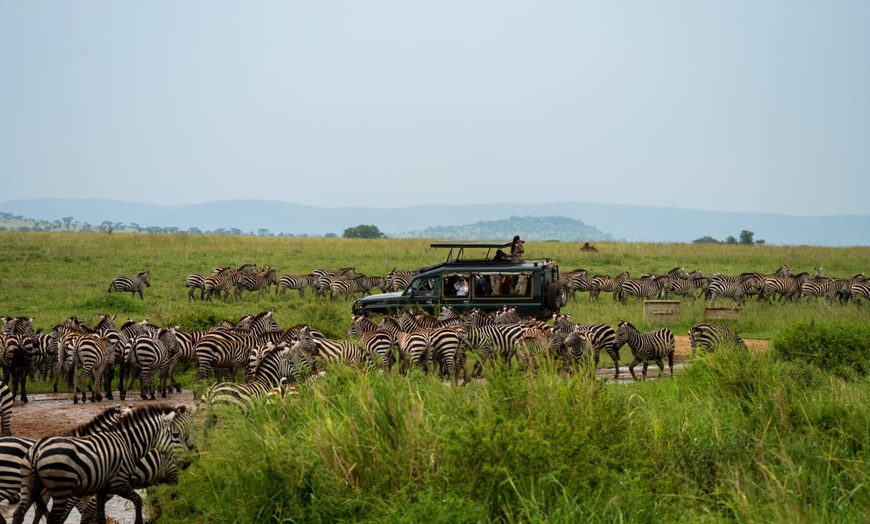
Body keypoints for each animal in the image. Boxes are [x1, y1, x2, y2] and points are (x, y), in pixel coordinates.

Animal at [11, 404, 190, 524]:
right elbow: (139, 500)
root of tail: (37, 450)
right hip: (62, 489)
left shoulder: (101, 488)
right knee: (54, 518)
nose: (188, 462)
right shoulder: (118, 482)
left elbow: (99, 517)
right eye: (175, 435)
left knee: (19, 513)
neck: (127, 442)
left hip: (28, 485)